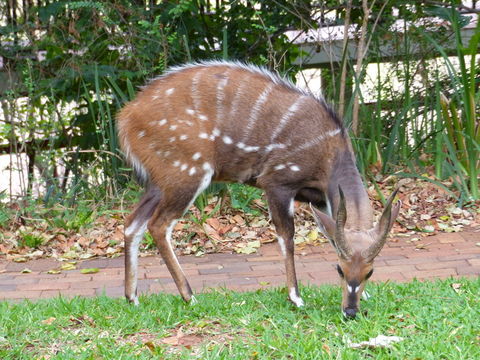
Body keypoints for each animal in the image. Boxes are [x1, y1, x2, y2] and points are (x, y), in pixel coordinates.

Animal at [117, 61, 402, 318]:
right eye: (339, 269)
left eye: (370, 272)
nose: (350, 311)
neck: (329, 155)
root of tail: (125, 117)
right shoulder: (277, 182)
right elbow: (287, 237)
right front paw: (296, 297)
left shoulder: (320, 199)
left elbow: (330, 235)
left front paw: (366, 294)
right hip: (187, 173)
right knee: (158, 225)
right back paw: (190, 296)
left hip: (160, 182)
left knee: (132, 224)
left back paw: (133, 298)